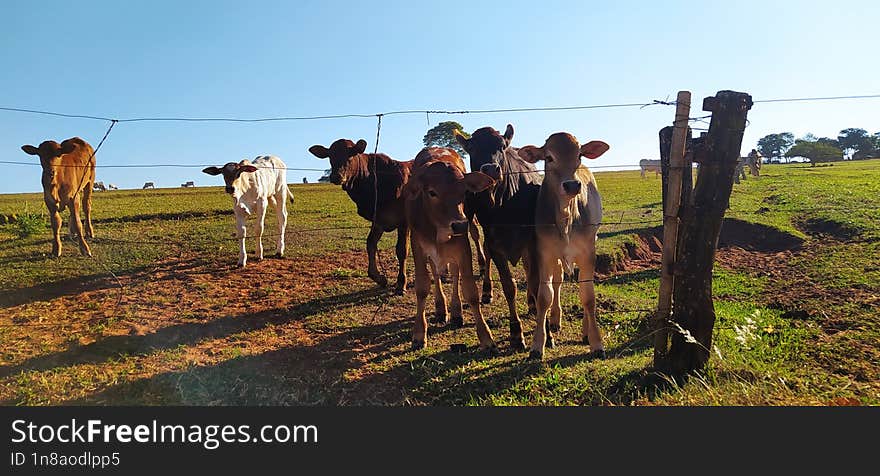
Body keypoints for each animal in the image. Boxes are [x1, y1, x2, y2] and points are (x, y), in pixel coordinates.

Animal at [310, 138, 416, 294]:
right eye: (330, 156)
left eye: (350, 155)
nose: (336, 176)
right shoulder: (378, 220)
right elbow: (370, 244)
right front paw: (379, 277)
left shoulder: (404, 221)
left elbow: (402, 250)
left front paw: (401, 284)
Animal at [404, 147, 498, 352]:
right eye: (432, 192)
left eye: (464, 192)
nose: (460, 225)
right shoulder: (418, 247)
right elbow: (422, 288)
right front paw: (419, 333)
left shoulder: (462, 247)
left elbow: (470, 291)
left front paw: (486, 337)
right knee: (436, 273)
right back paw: (441, 308)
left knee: (455, 274)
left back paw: (455, 311)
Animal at [520, 132, 608, 358]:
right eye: (549, 157)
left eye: (579, 155)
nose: (572, 185)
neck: (565, 217)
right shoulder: (544, 253)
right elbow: (545, 296)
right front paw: (537, 345)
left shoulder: (587, 254)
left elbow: (588, 297)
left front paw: (596, 342)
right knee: (558, 281)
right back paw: (555, 319)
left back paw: (585, 332)